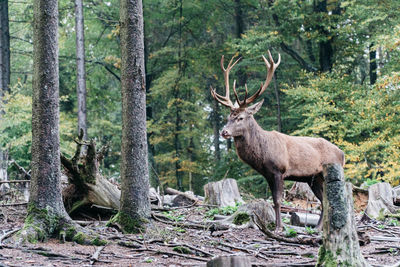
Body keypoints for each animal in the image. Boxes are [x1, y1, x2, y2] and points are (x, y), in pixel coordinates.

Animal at [211, 51, 346, 231]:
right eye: (228, 117)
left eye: (240, 117)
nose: (224, 132)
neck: (262, 153)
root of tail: (343, 154)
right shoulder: (267, 174)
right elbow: (274, 201)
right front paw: (276, 226)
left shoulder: (279, 170)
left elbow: (278, 200)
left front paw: (279, 227)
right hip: (314, 178)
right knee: (323, 199)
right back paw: (317, 228)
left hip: (330, 172)